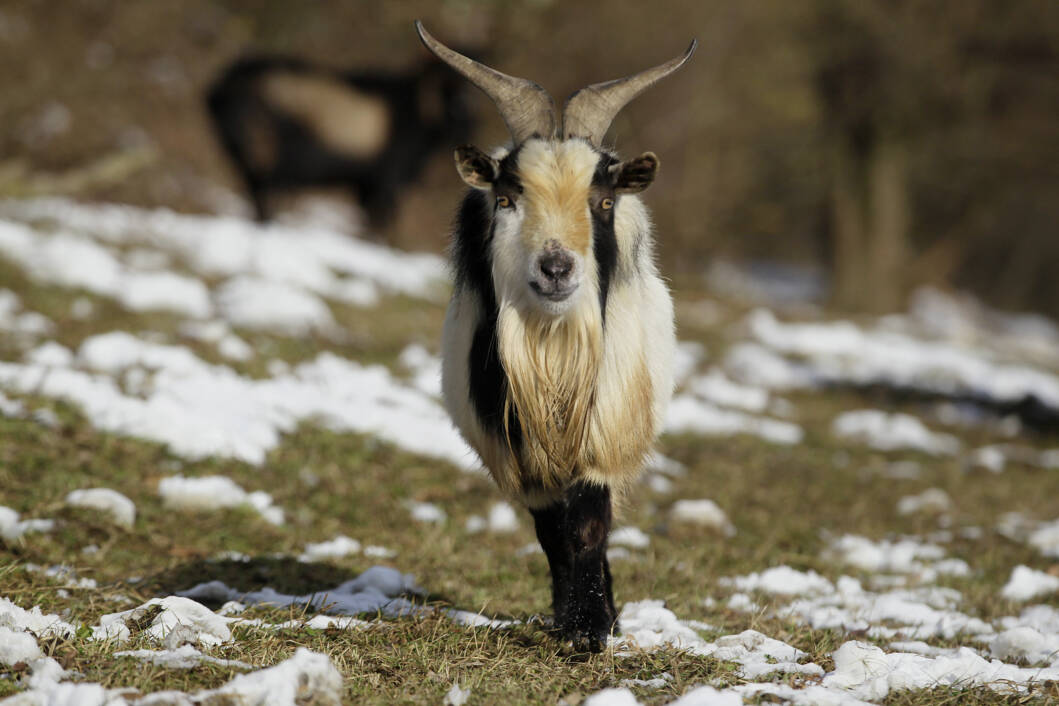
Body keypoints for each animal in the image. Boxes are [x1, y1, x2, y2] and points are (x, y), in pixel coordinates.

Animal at [203, 53, 476, 229]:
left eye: (462, 91)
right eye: (447, 92)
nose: (468, 118)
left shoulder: (364, 183)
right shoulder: (387, 179)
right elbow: (379, 224)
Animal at [421, 22, 694, 652]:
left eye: (604, 201)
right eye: (506, 198)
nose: (556, 268)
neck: (552, 344)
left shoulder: (607, 427)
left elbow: (590, 522)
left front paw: (591, 628)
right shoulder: (520, 450)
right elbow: (552, 534)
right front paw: (570, 619)